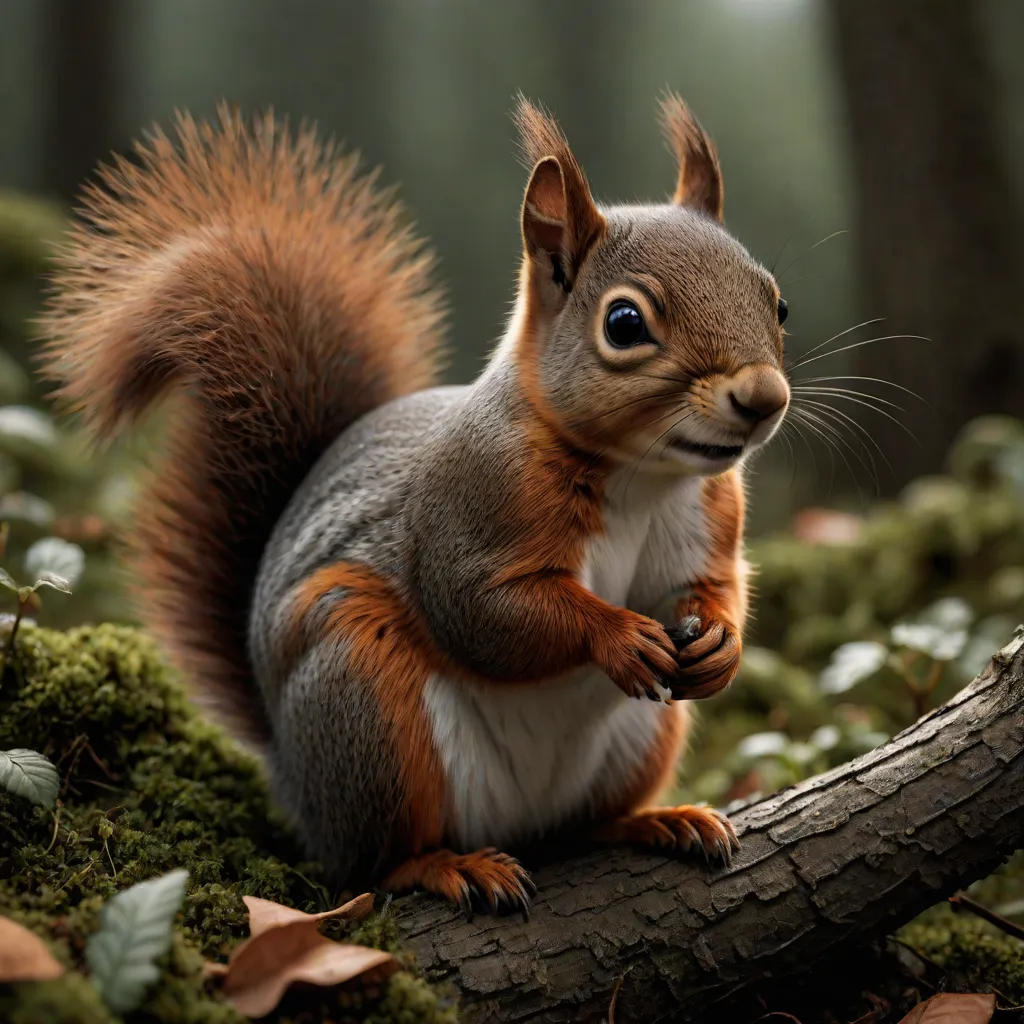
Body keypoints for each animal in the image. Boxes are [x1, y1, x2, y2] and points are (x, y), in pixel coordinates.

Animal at [40, 95, 790, 915]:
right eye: (625, 325)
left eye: (778, 303)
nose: (764, 398)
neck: (639, 477)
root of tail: (293, 778)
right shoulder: (472, 505)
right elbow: (484, 612)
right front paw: (617, 635)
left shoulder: (708, 516)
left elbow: (711, 586)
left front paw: (721, 644)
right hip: (366, 703)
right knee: (374, 863)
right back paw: (447, 867)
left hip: (640, 739)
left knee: (585, 825)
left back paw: (657, 821)